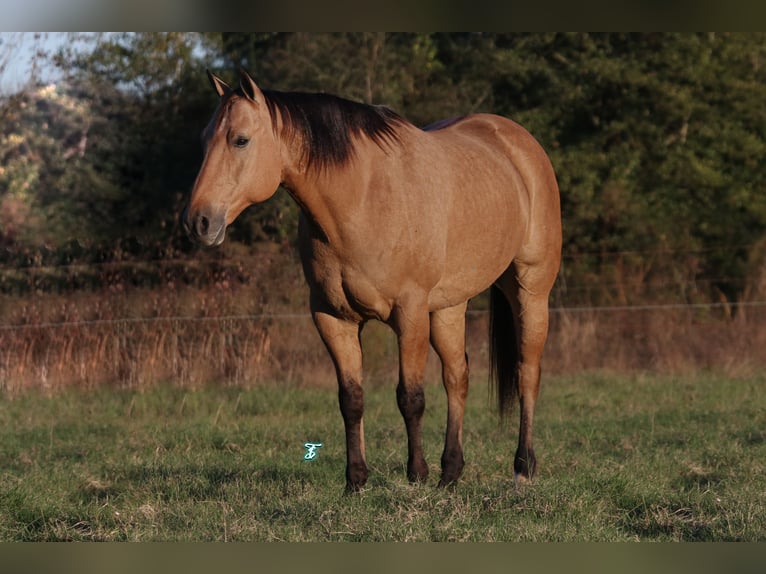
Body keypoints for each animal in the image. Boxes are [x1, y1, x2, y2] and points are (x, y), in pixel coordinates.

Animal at [183, 70, 560, 492]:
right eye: (204, 140)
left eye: (241, 140)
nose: (198, 222)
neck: (362, 199)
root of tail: (517, 141)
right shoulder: (333, 317)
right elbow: (351, 399)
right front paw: (356, 480)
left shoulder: (410, 313)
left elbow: (410, 397)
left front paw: (416, 475)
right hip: (449, 306)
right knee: (457, 377)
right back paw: (450, 473)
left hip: (529, 288)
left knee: (527, 371)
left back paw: (523, 466)